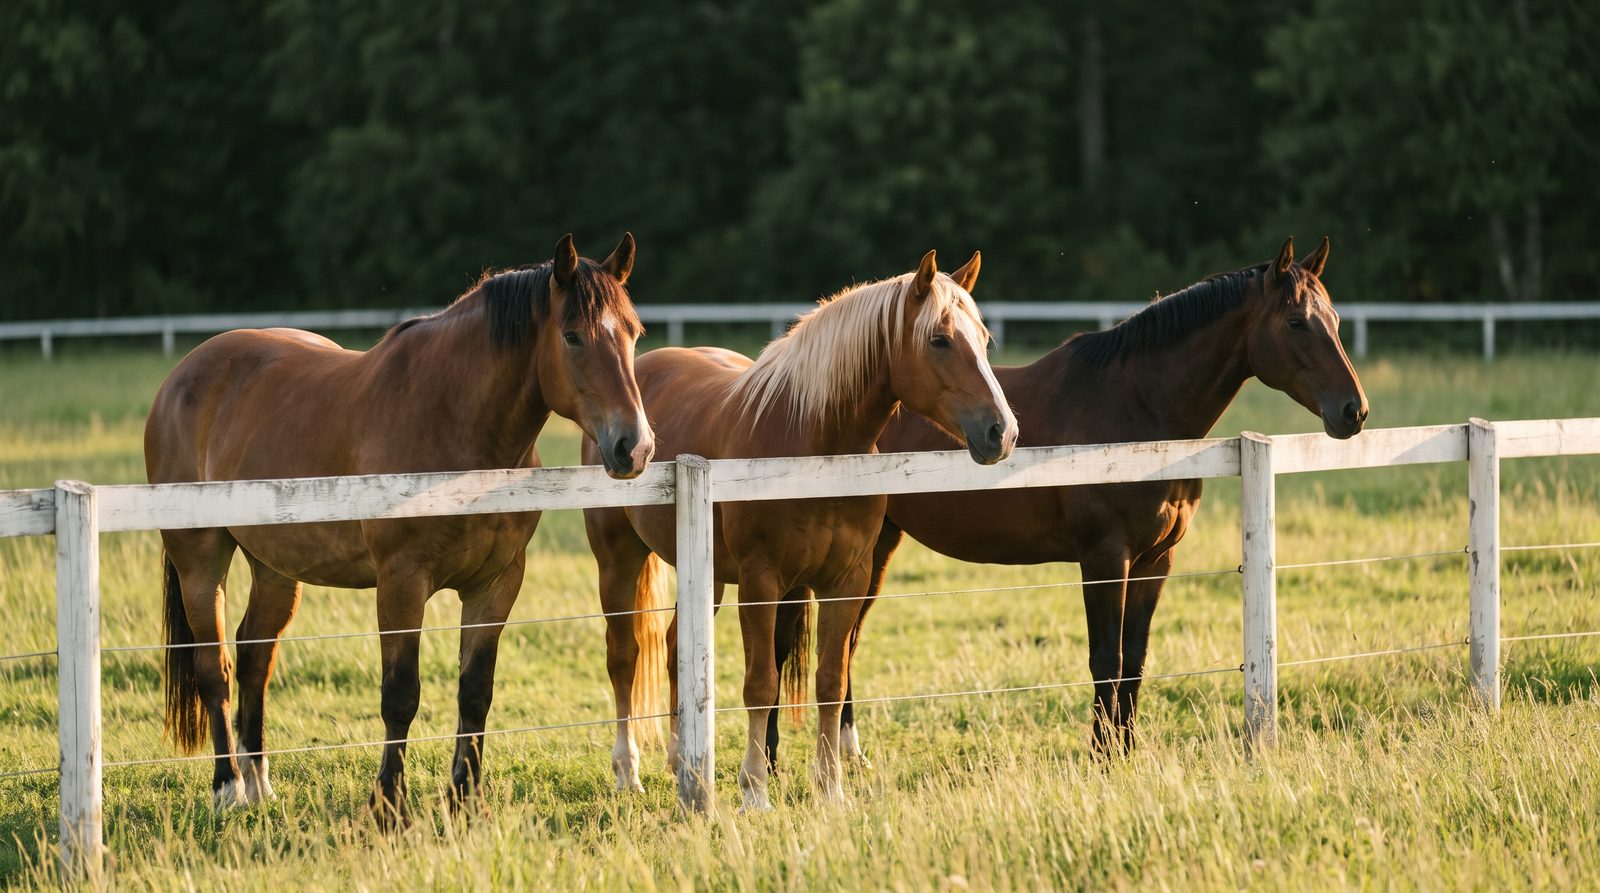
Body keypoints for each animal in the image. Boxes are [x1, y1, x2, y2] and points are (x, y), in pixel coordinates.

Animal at [145, 233, 654, 826]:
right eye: (572, 336)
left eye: (634, 333)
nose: (634, 446)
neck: (454, 424)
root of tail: (182, 376)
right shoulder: (402, 583)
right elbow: (401, 695)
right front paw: (389, 803)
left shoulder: (496, 584)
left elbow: (475, 691)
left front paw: (466, 800)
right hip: (200, 559)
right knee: (215, 668)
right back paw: (227, 788)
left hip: (275, 568)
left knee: (253, 657)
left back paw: (259, 786)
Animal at [581, 250, 1017, 809]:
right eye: (939, 339)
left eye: (983, 338)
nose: (1002, 432)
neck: (809, 443)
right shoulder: (761, 582)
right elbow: (760, 684)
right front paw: (754, 790)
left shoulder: (845, 582)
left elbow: (830, 681)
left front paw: (831, 787)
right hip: (618, 559)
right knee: (624, 656)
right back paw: (627, 772)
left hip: (707, 577)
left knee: (678, 649)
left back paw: (683, 762)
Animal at [769, 236, 1368, 767]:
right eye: (1296, 322)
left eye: (1336, 320)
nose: (1353, 411)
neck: (1137, 412)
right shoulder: (1105, 557)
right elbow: (1106, 659)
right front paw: (1102, 758)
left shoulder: (1155, 561)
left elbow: (1135, 659)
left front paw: (1127, 753)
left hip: (877, 547)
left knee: (845, 645)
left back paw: (851, 755)